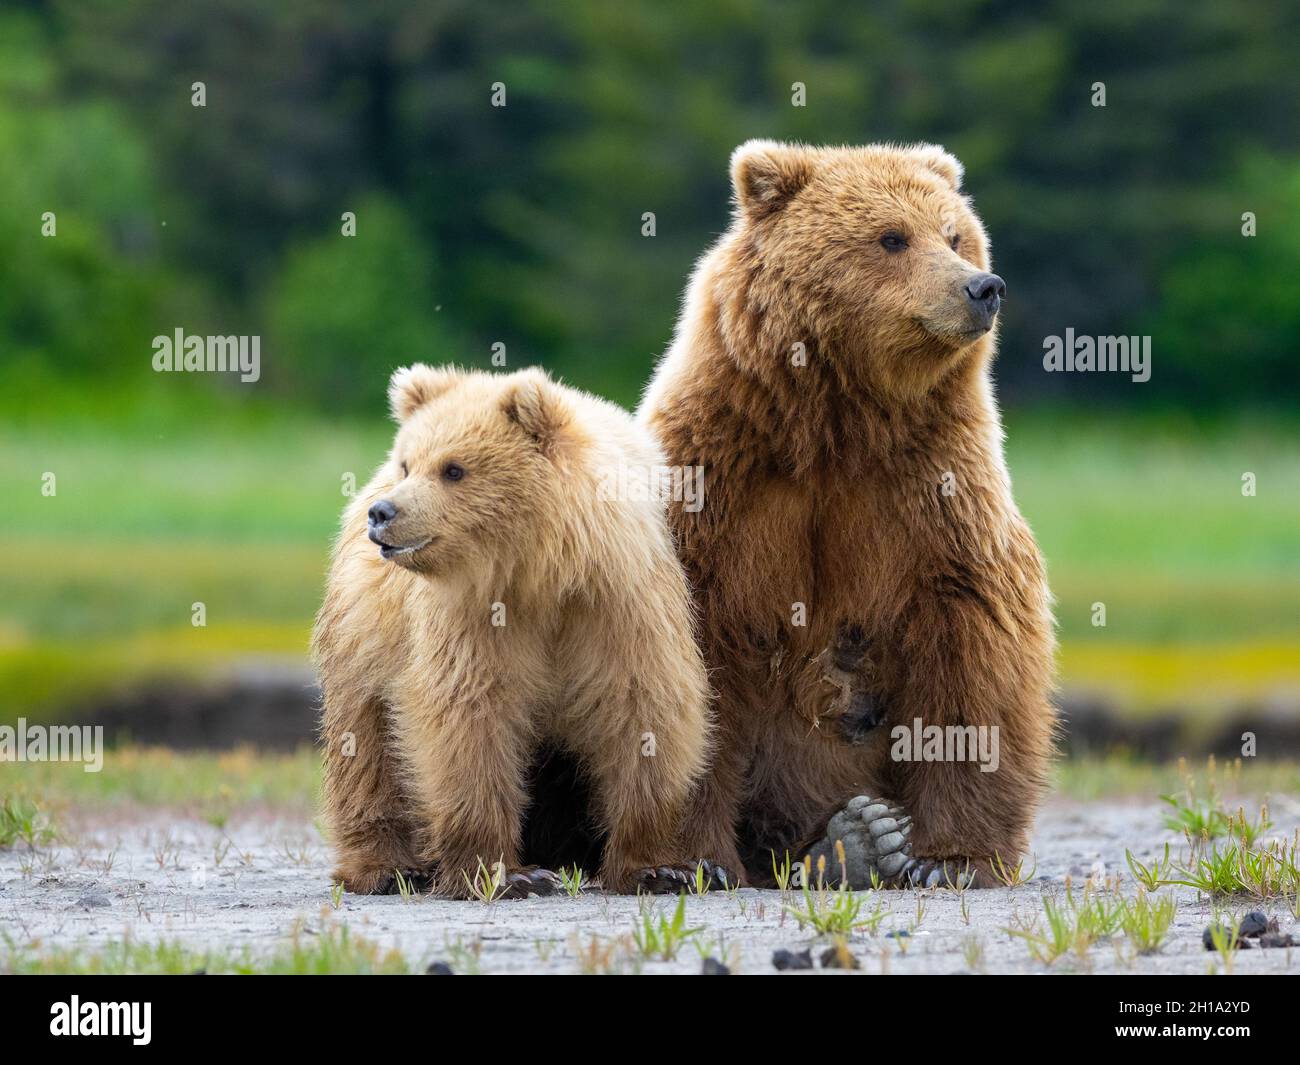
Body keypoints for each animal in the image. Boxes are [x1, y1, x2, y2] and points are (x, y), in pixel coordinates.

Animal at [313, 364, 724, 898]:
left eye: (453, 469)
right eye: (409, 464)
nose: (384, 513)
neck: (542, 571)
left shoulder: (618, 605)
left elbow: (643, 710)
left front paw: (662, 867)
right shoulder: (475, 620)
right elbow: (469, 719)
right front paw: (508, 873)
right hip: (366, 631)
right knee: (363, 743)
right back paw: (386, 867)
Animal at [639, 140, 1056, 889]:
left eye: (955, 234)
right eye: (891, 237)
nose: (983, 287)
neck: (835, 424)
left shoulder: (933, 495)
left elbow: (972, 646)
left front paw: (951, 857)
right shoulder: (714, 486)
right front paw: (690, 860)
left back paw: (859, 836)